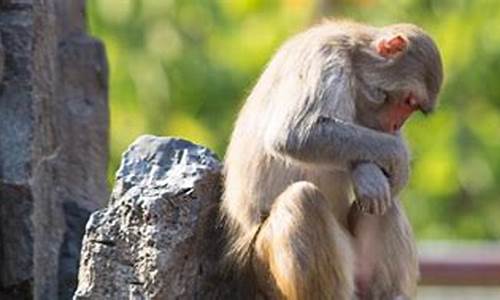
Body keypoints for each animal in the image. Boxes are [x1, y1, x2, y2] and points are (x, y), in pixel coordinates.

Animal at [221, 19, 444, 300]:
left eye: (412, 107)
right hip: (264, 265)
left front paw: (373, 171)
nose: (396, 125)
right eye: (408, 101)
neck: (354, 59)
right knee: (303, 200)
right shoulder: (324, 60)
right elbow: (297, 133)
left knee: (387, 202)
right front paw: (396, 158)